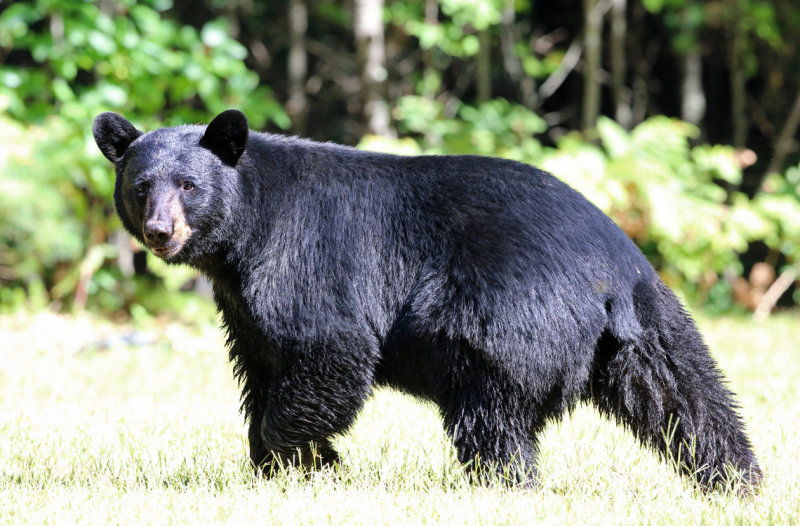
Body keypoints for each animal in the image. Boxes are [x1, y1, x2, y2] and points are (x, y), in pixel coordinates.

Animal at [90, 109, 760, 492]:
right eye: (141, 185)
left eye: (188, 185)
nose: (160, 231)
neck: (246, 234)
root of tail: (612, 273)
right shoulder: (241, 306)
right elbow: (260, 366)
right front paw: (284, 464)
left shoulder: (306, 261)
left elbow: (331, 349)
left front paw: (306, 463)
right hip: (647, 325)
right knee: (687, 395)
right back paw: (737, 480)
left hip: (502, 318)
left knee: (492, 413)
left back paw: (500, 484)